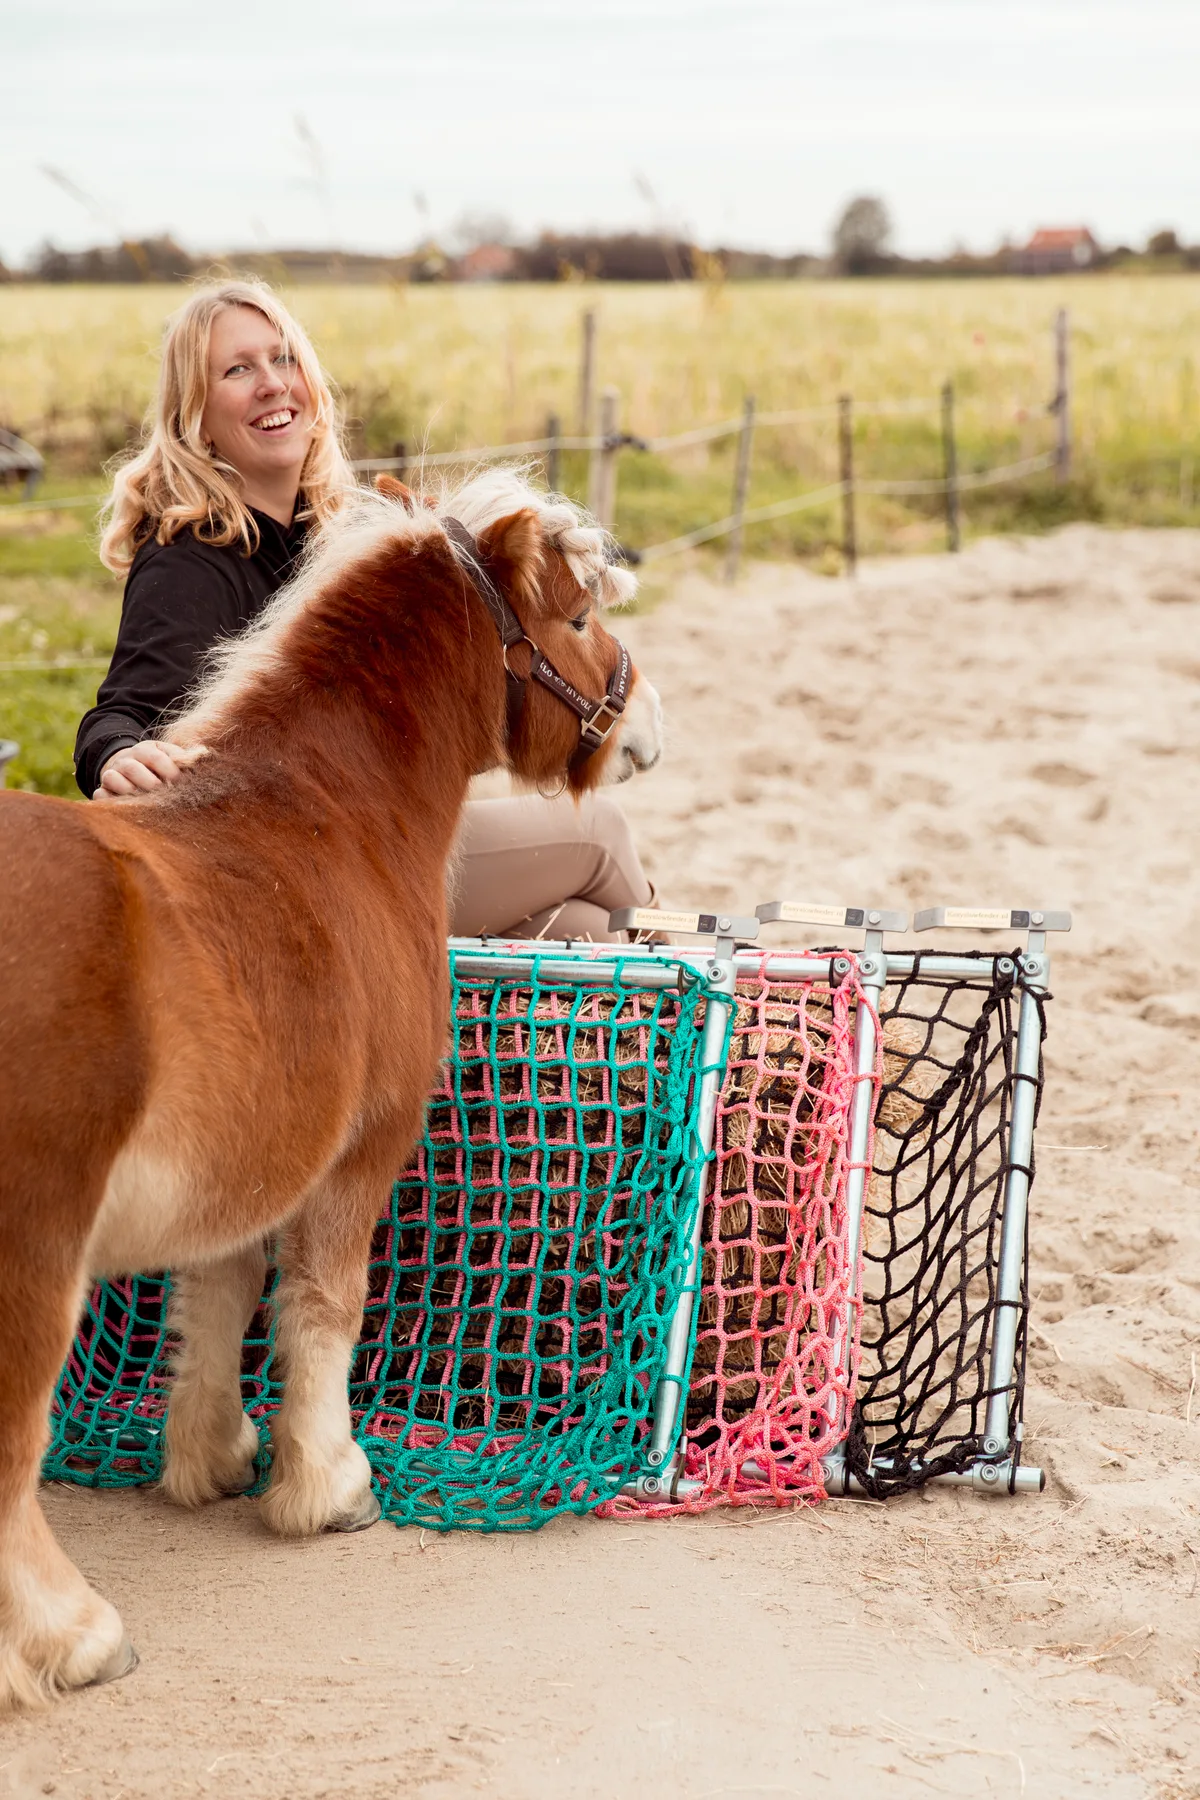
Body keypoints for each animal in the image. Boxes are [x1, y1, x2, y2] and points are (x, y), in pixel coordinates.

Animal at [0, 467, 662, 1708]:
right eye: (578, 618)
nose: (644, 721)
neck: (322, 807)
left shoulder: (246, 1162)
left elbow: (216, 1299)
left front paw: (212, 1455)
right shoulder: (361, 1151)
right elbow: (323, 1310)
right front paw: (328, 1483)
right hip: (34, 1254)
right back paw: (73, 1633)